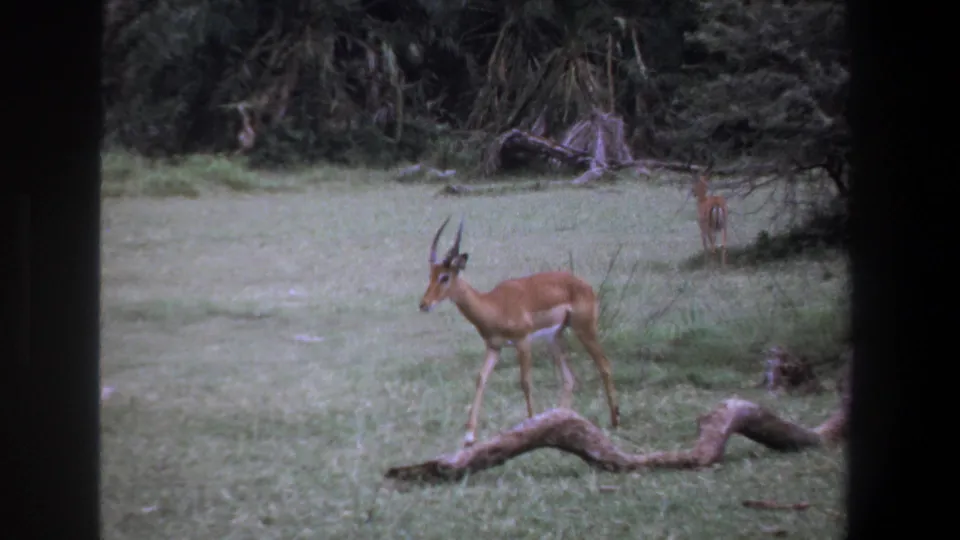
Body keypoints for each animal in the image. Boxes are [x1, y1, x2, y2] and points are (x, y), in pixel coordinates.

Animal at [418, 217, 621, 447]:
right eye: (430, 275)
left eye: (444, 277)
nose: (424, 304)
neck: (495, 305)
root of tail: (586, 285)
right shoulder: (494, 347)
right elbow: (481, 379)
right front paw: (469, 436)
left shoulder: (523, 341)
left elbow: (525, 382)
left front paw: (530, 425)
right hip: (555, 338)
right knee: (569, 378)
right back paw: (562, 419)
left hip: (584, 329)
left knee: (604, 365)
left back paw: (614, 421)